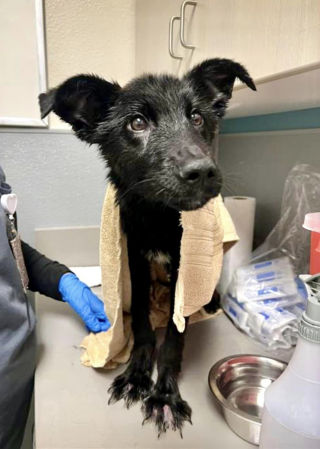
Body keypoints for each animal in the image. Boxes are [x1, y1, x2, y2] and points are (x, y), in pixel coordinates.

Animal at [39, 58, 255, 434]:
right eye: (137, 123)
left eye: (197, 117)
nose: (204, 171)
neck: (157, 217)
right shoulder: (135, 263)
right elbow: (141, 324)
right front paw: (137, 374)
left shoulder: (183, 273)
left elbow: (174, 335)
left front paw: (165, 393)